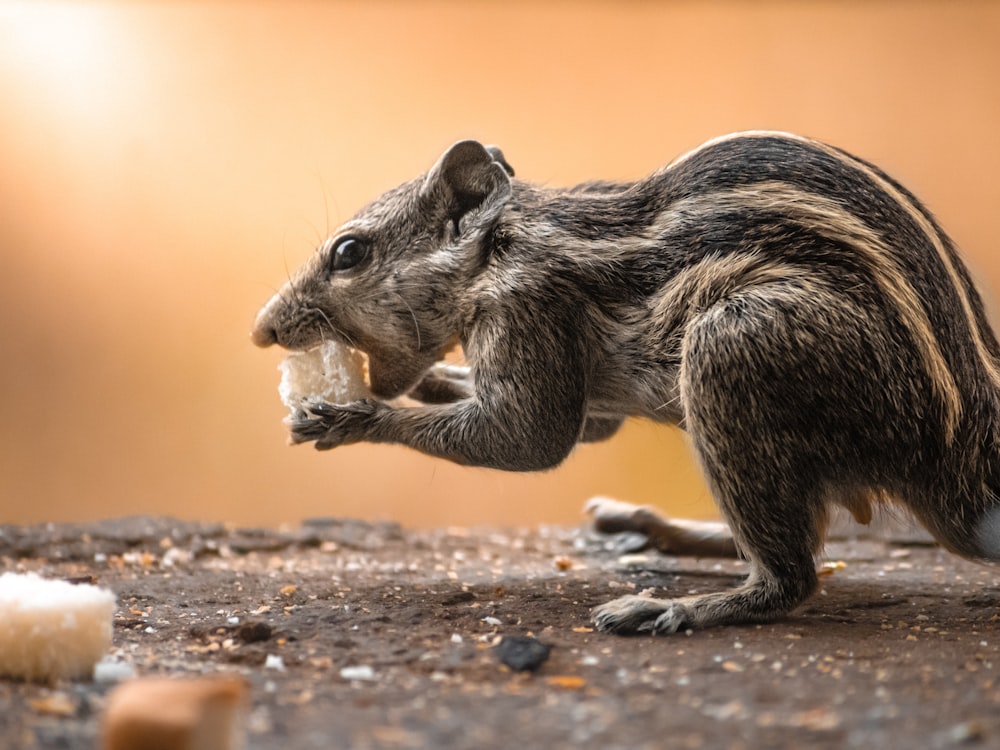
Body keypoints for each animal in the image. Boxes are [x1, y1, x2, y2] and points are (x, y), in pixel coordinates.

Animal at [248, 134, 1000, 636]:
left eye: (349, 253)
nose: (262, 330)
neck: (501, 246)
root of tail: (961, 467)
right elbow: (587, 425)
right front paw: (435, 380)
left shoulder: (530, 307)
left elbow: (531, 437)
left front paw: (355, 416)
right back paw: (653, 527)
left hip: (733, 344)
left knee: (793, 577)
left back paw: (676, 606)